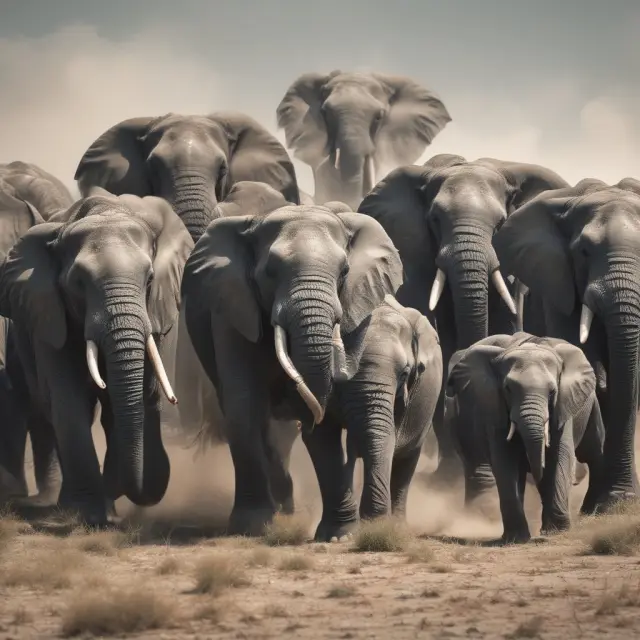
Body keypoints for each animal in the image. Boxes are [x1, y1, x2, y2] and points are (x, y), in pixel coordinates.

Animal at [0, 188, 193, 524]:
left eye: (149, 279)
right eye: (78, 283)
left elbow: (135, 396)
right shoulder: (50, 314)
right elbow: (69, 399)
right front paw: (92, 515)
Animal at [446, 332, 605, 544]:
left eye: (553, 392)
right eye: (508, 389)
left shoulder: (563, 407)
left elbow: (560, 456)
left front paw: (557, 531)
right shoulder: (494, 408)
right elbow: (505, 461)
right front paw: (516, 538)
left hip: (591, 405)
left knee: (593, 452)